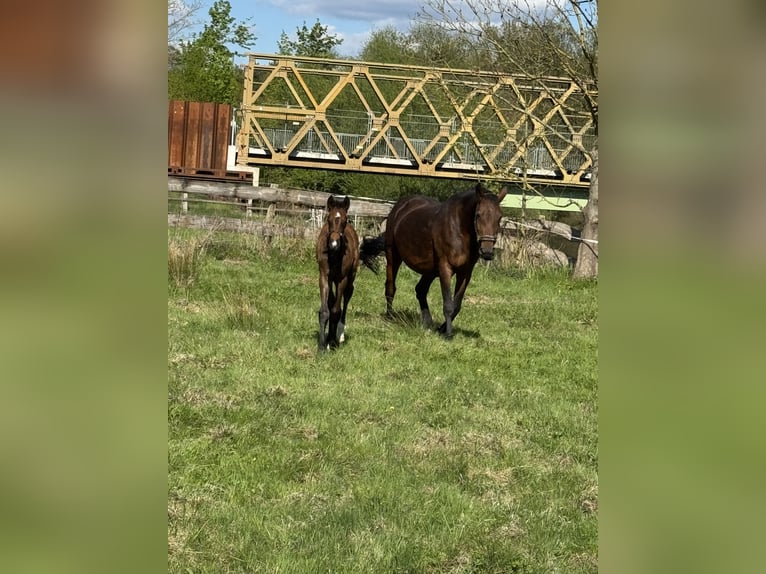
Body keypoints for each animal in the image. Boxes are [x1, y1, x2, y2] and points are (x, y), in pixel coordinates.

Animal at [316, 194, 377, 352]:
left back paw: (340, 334)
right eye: (328, 219)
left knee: (347, 296)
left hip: (351, 276)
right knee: (332, 301)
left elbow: (336, 311)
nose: (334, 244)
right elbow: (325, 310)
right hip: (332, 279)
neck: (334, 255)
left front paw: (332, 342)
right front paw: (322, 346)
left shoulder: (342, 279)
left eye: (344, 221)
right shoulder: (324, 276)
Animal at [360, 182, 507, 338]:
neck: (459, 229)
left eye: (499, 217)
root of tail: (399, 207)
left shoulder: (465, 273)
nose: (487, 252)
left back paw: (427, 322)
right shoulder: (445, 268)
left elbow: (456, 305)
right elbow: (448, 304)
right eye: (478, 215)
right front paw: (448, 334)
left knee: (420, 290)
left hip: (430, 270)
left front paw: (441, 329)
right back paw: (390, 316)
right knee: (390, 287)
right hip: (393, 255)